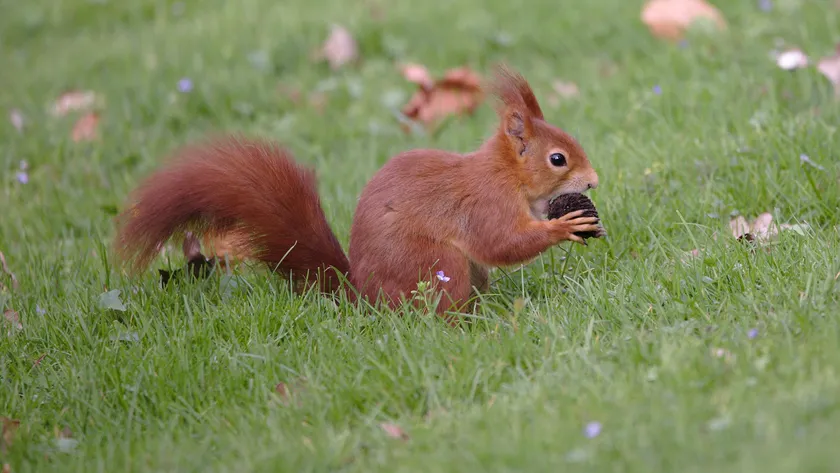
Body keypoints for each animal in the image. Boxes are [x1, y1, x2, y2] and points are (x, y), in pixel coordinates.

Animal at [113, 65, 601, 322]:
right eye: (558, 158)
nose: (594, 181)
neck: (508, 177)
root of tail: (362, 298)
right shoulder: (486, 203)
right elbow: (502, 242)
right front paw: (565, 225)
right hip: (437, 264)